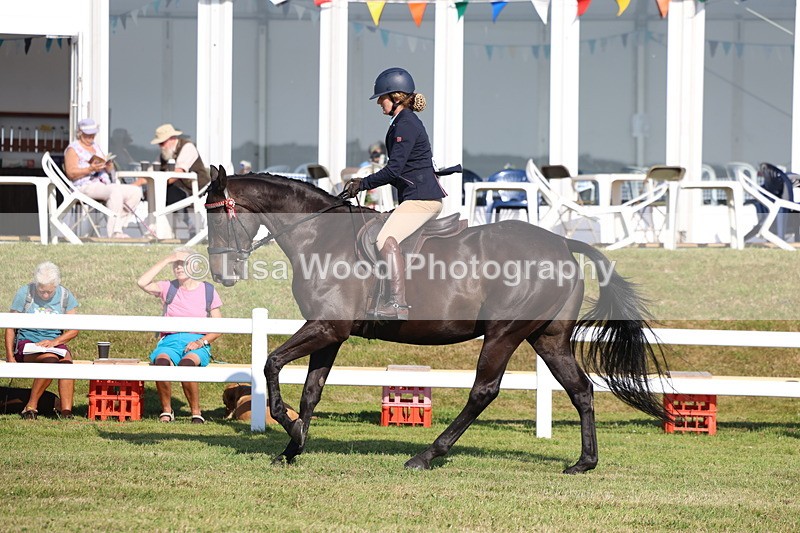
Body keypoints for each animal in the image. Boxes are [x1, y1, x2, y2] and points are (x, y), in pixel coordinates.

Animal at [204, 165, 667, 474]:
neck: (321, 237)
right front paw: (294, 446)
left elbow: (272, 363)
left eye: (216, 215)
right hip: (548, 339)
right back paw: (584, 462)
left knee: (483, 392)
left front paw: (286, 426)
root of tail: (562, 244)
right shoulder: (331, 335)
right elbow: (311, 392)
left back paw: (426, 455)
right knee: (580, 389)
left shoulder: (326, 328)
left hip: (504, 334)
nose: (223, 275)